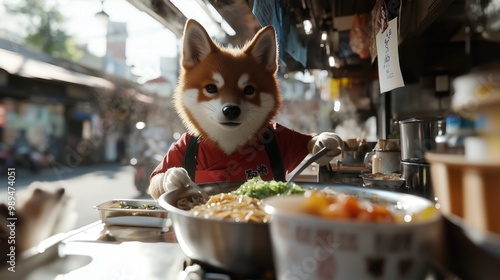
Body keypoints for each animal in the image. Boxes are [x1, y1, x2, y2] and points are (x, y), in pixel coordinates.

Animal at [148, 19, 344, 199]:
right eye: (211, 88)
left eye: (249, 90)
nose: (231, 110)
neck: (229, 142)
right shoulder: (180, 145)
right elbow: (156, 179)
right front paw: (173, 176)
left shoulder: (282, 135)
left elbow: (306, 141)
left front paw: (325, 140)